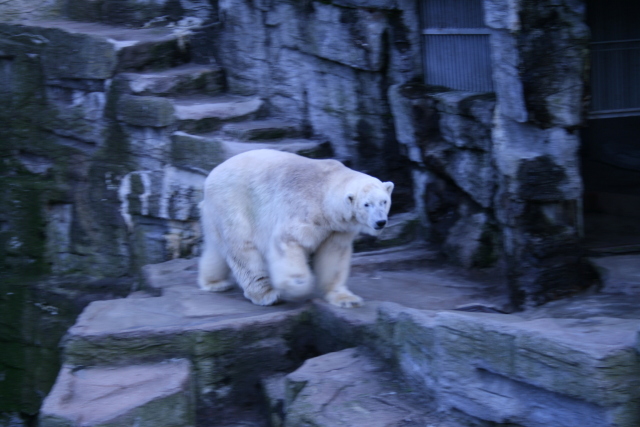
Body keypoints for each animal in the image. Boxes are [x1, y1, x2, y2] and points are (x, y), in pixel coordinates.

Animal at [197, 149, 394, 308]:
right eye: (367, 204)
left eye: (384, 201)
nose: (380, 222)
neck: (325, 190)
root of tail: (210, 177)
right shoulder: (305, 211)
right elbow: (288, 242)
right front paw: (298, 286)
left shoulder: (337, 229)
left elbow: (334, 255)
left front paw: (347, 299)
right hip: (233, 204)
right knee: (244, 250)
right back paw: (267, 294)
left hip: (215, 213)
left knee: (216, 248)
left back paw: (215, 283)